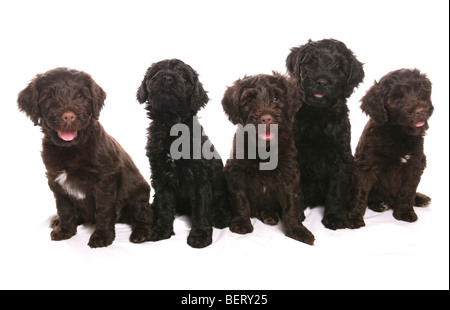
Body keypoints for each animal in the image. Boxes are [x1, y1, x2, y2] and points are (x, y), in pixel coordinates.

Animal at [17, 67, 153, 247]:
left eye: (80, 96)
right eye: (50, 97)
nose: (68, 116)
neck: (71, 148)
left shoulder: (105, 178)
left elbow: (104, 210)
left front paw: (102, 236)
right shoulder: (55, 179)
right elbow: (64, 208)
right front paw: (65, 230)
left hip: (139, 194)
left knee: (142, 216)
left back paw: (141, 233)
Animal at [136, 58, 229, 248]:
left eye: (184, 76)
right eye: (157, 71)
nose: (167, 78)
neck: (171, 126)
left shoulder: (200, 178)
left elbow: (201, 208)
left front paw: (200, 235)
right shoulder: (160, 175)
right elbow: (164, 203)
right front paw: (161, 230)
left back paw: (221, 217)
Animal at [222, 72, 314, 245]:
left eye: (276, 98)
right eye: (249, 101)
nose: (266, 119)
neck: (264, 148)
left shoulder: (288, 173)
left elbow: (291, 203)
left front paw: (297, 230)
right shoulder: (236, 172)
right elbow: (240, 199)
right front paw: (241, 223)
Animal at [286, 37, 364, 229]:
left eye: (338, 67)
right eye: (312, 61)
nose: (322, 81)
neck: (317, 115)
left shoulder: (341, 157)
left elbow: (337, 190)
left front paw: (335, 217)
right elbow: (296, 189)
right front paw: (296, 215)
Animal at [346, 68, 434, 228]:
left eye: (421, 91)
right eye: (397, 98)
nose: (420, 110)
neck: (398, 134)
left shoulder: (415, 164)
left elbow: (408, 191)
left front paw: (405, 213)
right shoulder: (365, 166)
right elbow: (360, 193)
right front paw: (354, 218)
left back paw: (420, 198)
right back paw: (379, 204)